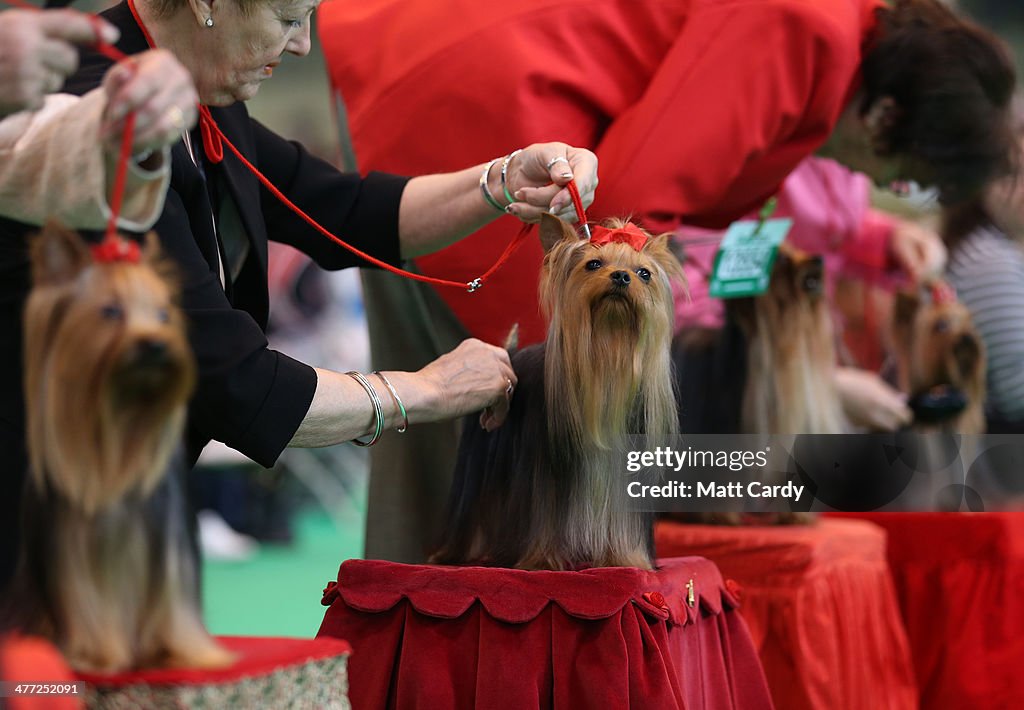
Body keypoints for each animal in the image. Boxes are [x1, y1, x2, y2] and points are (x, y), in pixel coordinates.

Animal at [6, 221, 230, 672]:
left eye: (164, 315)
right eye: (110, 312)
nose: (156, 343)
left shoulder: (170, 553)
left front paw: (187, 652)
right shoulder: (69, 558)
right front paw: (97, 655)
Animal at [428, 213, 684, 569]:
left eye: (644, 273)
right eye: (593, 264)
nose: (621, 276)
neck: (608, 357)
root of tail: (509, 353)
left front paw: (626, 559)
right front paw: (543, 560)